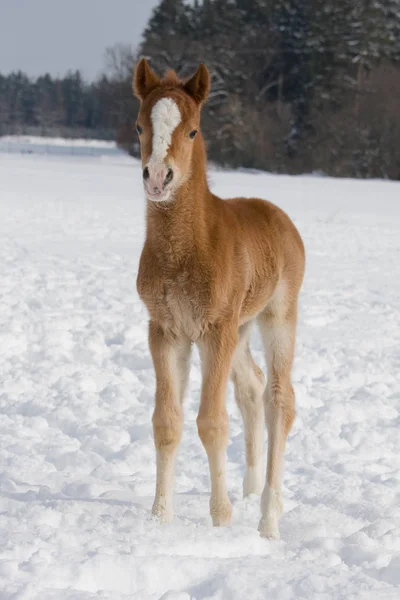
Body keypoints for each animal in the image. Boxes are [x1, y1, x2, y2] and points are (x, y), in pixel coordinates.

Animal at [133, 59, 304, 540]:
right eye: (139, 126)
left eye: (192, 130)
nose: (158, 178)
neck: (187, 249)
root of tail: (277, 214)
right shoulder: (166, 331)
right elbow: (166, 421)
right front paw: (160, 516)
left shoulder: (214, 331)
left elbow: (211, 422)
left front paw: (221, 517)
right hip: (241, 328)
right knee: (252, 387)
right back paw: (250, 490)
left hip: (276, 317)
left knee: (279, 399)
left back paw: (267, 520)